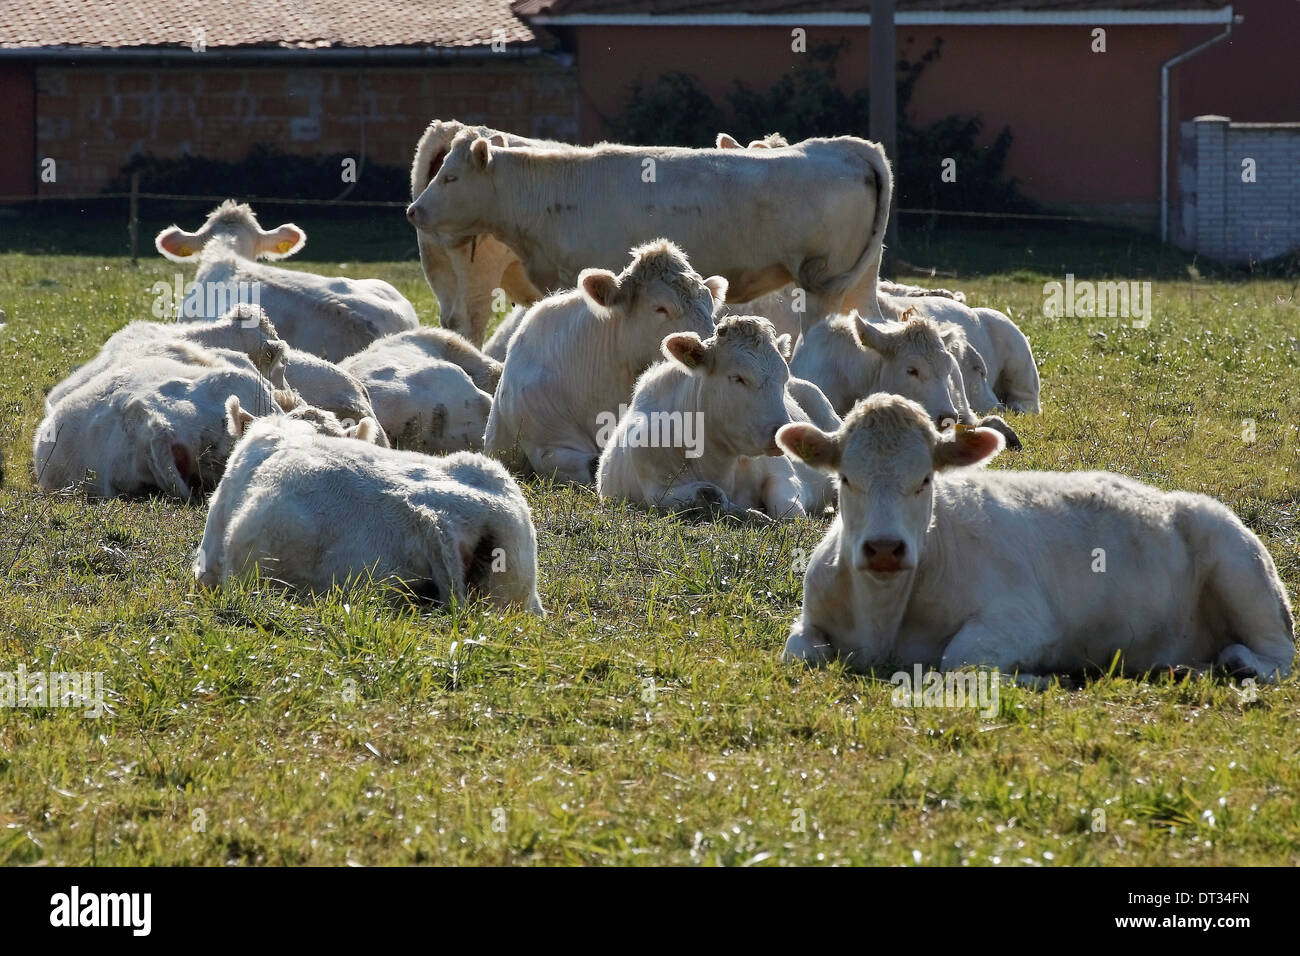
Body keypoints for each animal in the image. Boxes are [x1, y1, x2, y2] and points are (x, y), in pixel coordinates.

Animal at [596, 316, 805, 521]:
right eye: (737, 377)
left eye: (784, 378)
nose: (782, 433)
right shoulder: (656, 490)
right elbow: (710, 493)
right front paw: (755, 515)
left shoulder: (784, 475)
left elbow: (791, 512)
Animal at [777, 394, 1296, 683]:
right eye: (846, 480)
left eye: (925, 480)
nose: (884, 548)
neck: (882, 619)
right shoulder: (810, 619)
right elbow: (800, 652)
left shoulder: (1024, 619)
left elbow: (957, 662)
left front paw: (1044, 677)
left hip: (1242, 571)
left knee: (1279, 653)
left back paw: (1240, 663)